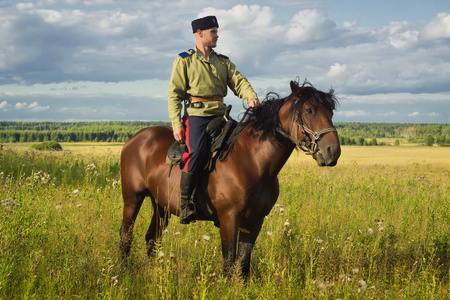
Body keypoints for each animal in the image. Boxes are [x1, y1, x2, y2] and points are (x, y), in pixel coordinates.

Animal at [119, 80, 342, 276]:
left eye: (331, 111)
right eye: (309, 110)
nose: (333, 151)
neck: (254, 161)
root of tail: (135, 138)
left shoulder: (254, 221)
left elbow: (243, 264)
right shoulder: (229, 219)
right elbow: (228, 262)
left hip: (161, 206)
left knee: (151, 238)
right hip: (132, 199)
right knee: (126, 234)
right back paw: (124, 273)